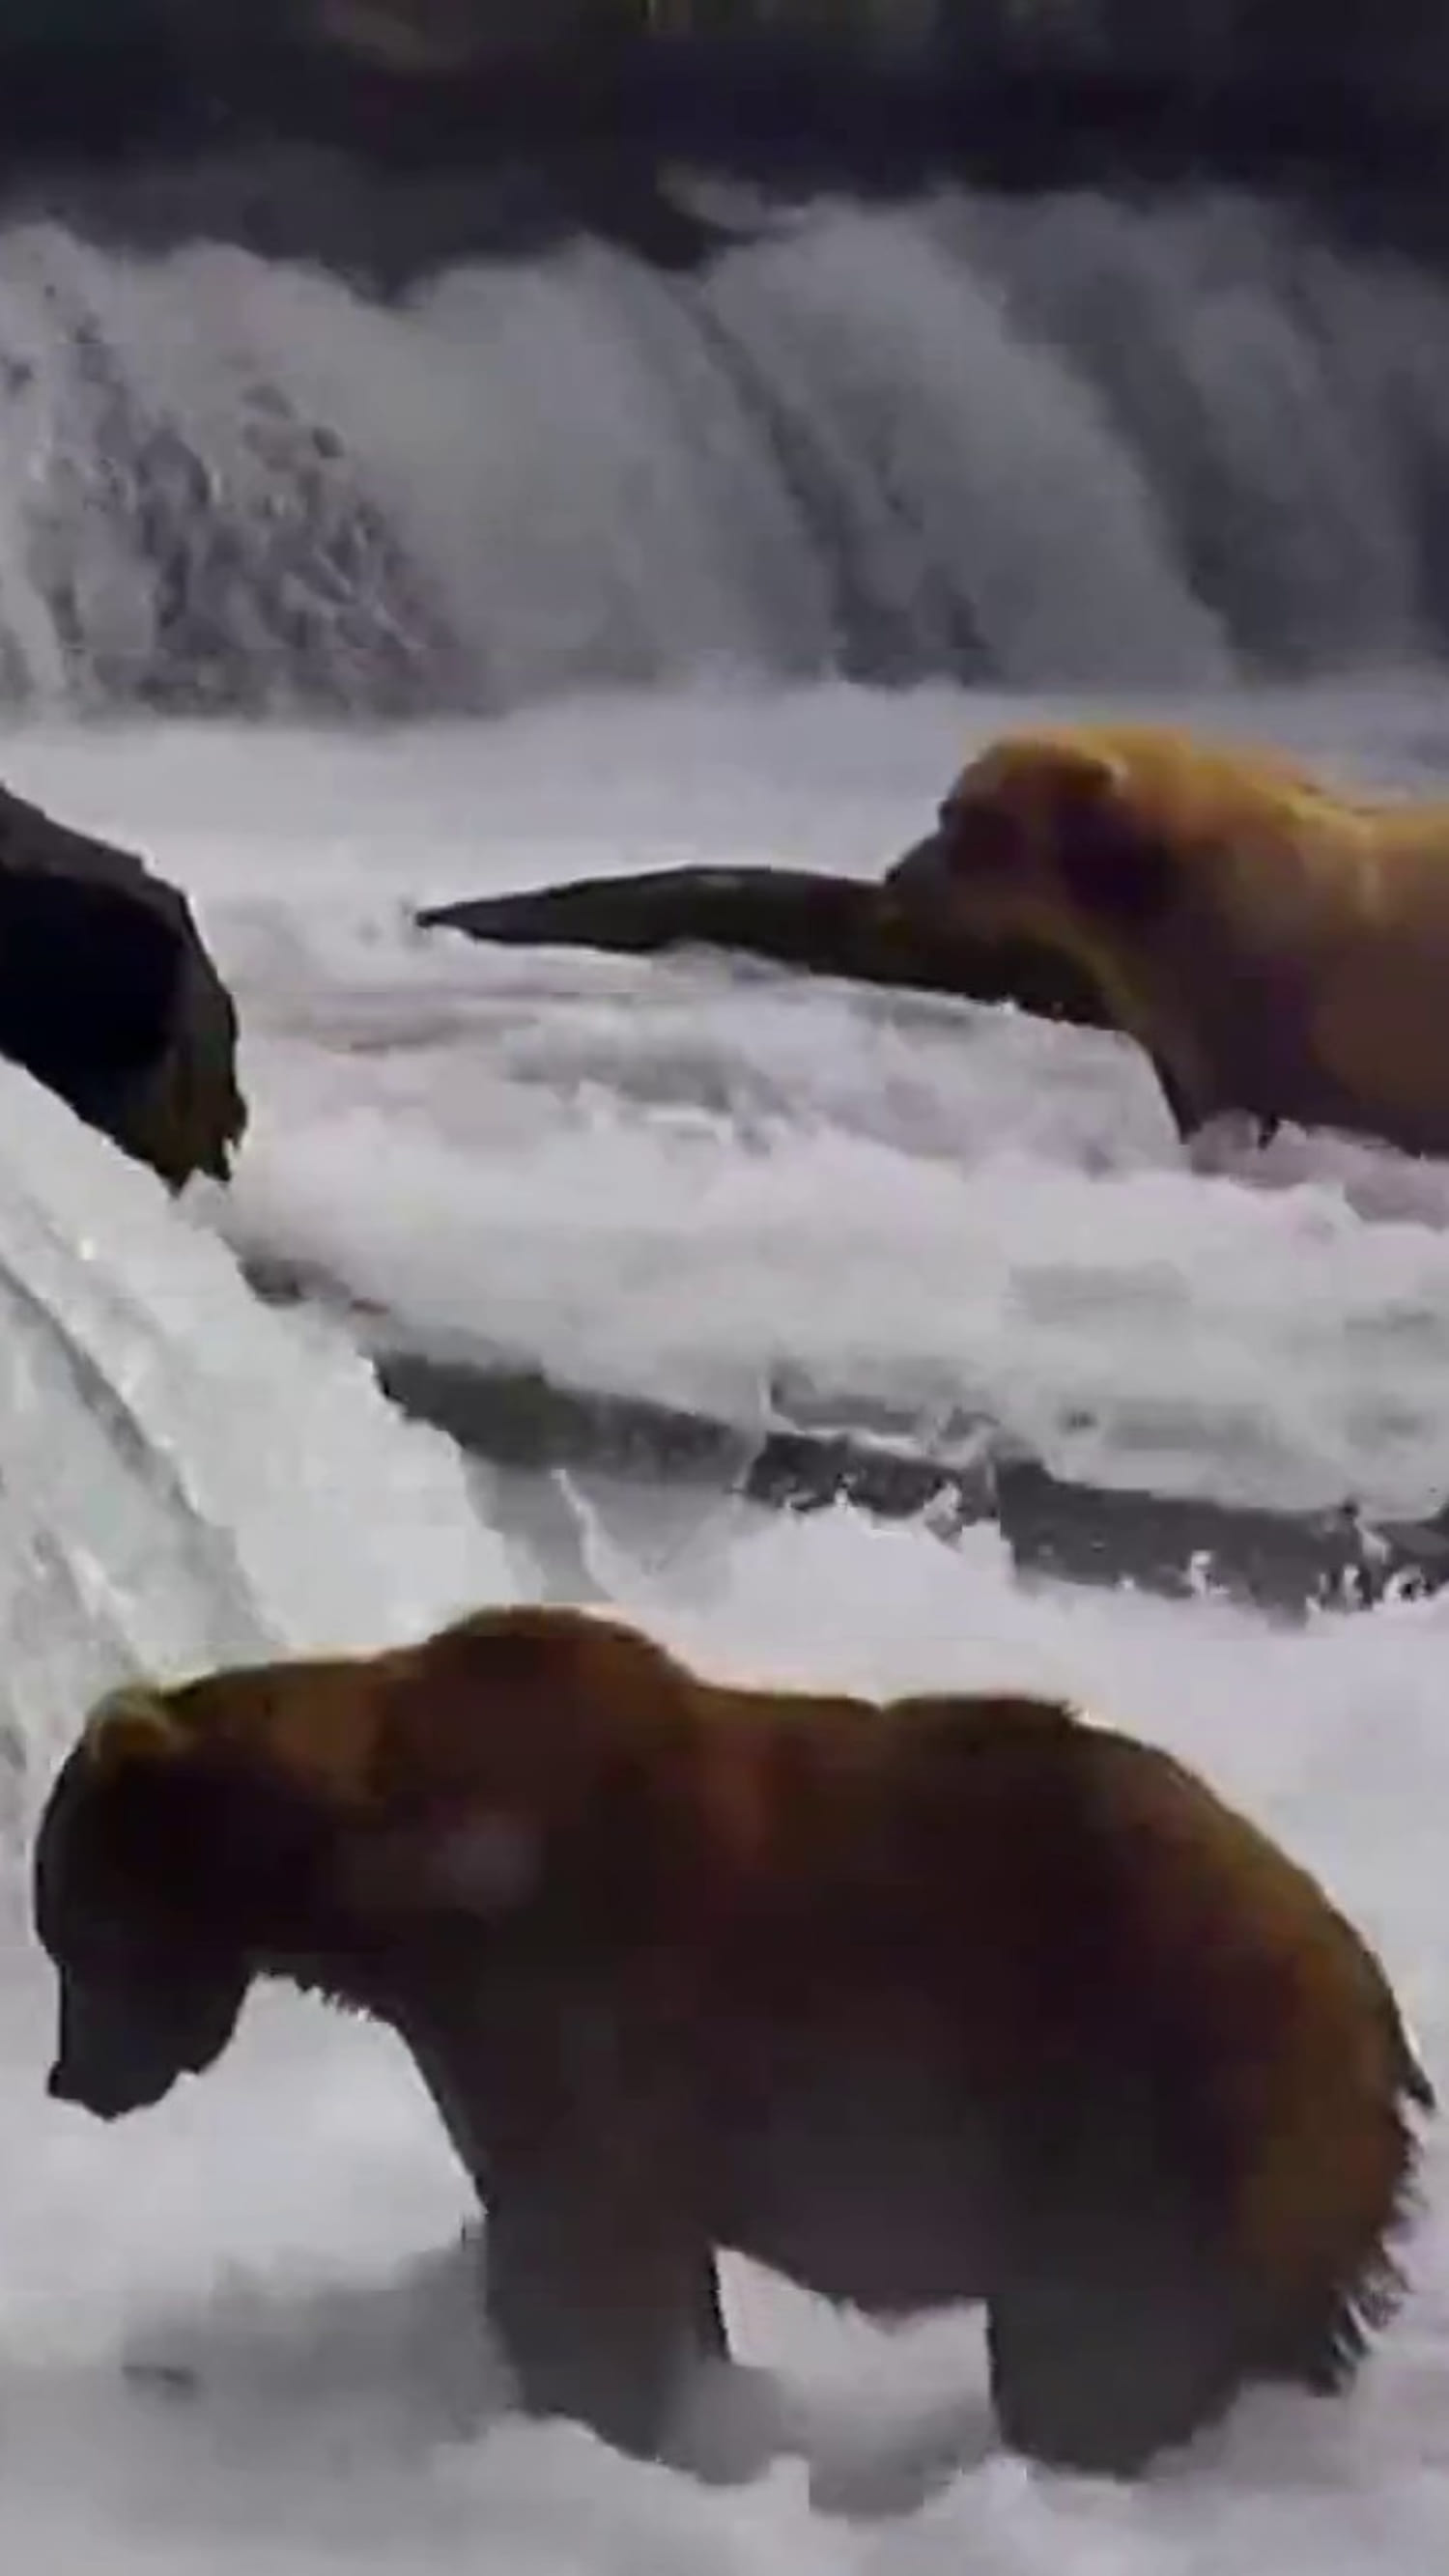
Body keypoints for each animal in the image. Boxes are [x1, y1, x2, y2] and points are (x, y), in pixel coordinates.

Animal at [33, 1602, 1433, 2480]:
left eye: (70, 1928)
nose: (69, 2077)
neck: (380, 1889)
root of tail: (1369, 1997)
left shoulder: (569, 1986)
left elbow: (581, 2253)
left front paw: (585, 2412)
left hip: (1162, 2097)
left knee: (1101, 2344)